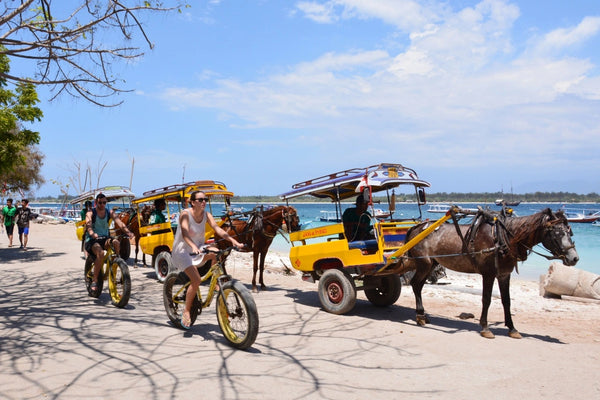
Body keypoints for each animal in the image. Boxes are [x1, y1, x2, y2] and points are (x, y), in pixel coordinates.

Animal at [404, 208, 576, 340]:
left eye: (570, 232)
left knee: (418, 286)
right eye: (557, 233)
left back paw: (422, 315)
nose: (574, 258)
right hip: (424, 264)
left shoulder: (504, 274)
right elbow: (486, 299)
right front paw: (485, 328)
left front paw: (512, 329)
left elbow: (506, 301)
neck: (502, 238)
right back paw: (420, 316)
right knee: (415, 284)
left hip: (431, 264)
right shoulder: (488, 274)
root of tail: (416, 227)